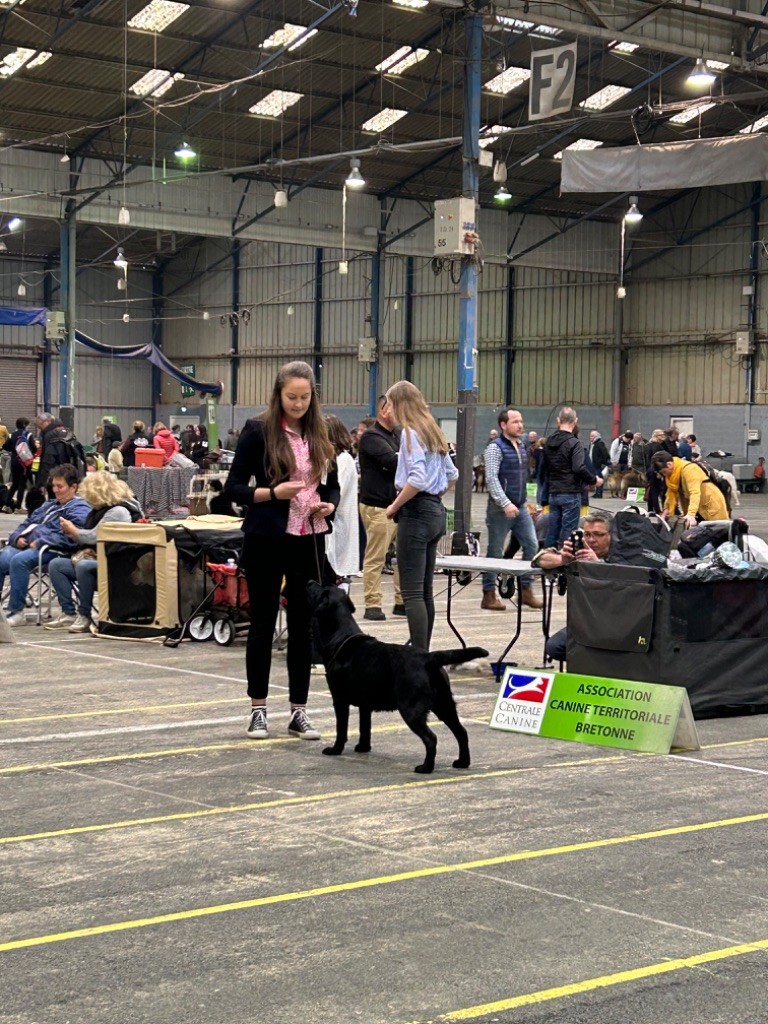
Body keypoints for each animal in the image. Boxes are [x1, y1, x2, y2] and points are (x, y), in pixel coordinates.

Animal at [306, 581, 487, 773]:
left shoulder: (339, 699)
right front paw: (363, 747)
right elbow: (365, 727)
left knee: (431, 738)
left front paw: (335, 749)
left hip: (411, 708)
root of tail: (428, 658)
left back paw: (425, 767)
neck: (341, 635)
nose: (310, 582)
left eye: (321, 591)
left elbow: (341, 729)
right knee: (461, 732)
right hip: (444, 704)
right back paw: (462, 762)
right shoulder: (365, 704)